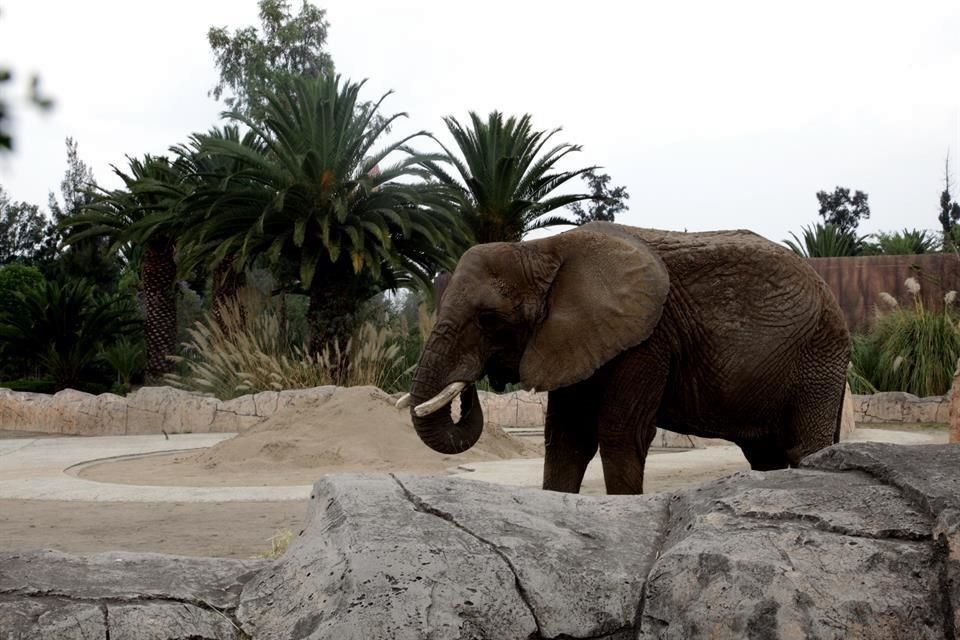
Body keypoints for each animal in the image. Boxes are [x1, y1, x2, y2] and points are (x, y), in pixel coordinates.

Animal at [398, 222, 848, 498]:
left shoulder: (647, 340)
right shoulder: (573, 340)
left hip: (818, 355)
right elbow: (566, 440)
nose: (471, 381)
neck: (544, 250)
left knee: (805, 446)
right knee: (766, 455)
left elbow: (620, 436)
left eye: (489, 319)